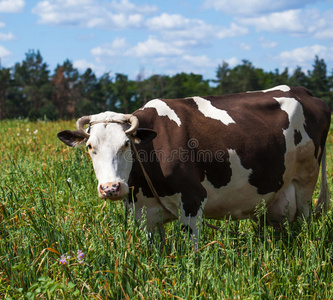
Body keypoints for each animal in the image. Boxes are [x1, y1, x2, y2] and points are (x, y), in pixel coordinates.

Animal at [56, 85, 330, 246]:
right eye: (90, 147)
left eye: (126, 144)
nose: (111, 188)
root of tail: (302, 90)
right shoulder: (143, 212)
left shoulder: (192, 200)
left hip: (306, 181)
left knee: (305, 220)